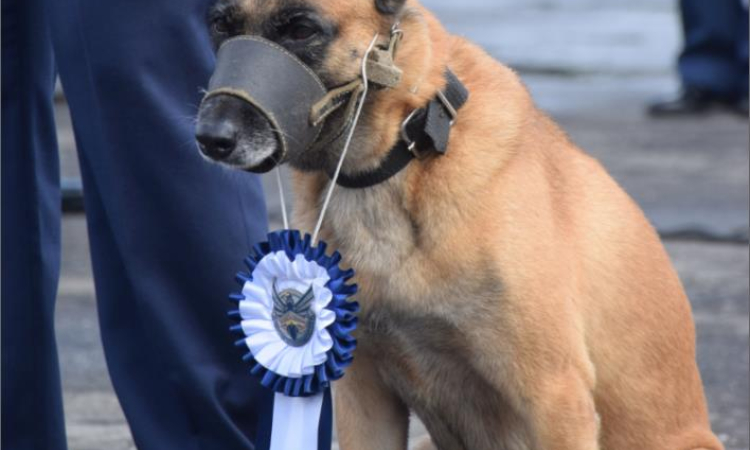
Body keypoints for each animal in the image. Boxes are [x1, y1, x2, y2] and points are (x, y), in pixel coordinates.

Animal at [197, 0, 724, 450]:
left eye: (302, 29)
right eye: (220, 24)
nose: (209, 139)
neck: (406, 155)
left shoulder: (554, 396)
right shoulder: (364, 395)